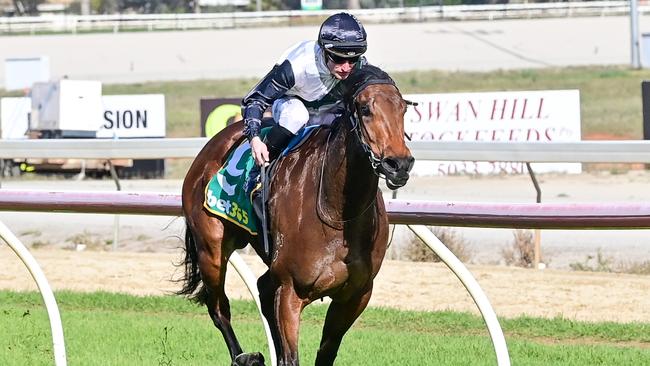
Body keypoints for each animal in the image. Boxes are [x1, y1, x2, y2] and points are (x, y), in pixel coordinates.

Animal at [175, 66, 412, 366]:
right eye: (365, 108)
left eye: (403, 108)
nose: (399, 164)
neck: (336, 213)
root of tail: (210, 147)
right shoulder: (291, 291)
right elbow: (291, 355)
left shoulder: (356, 294)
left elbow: (326, 353)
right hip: (211, 249)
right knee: (219, 308)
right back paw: (244, 357)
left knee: (263, 289)